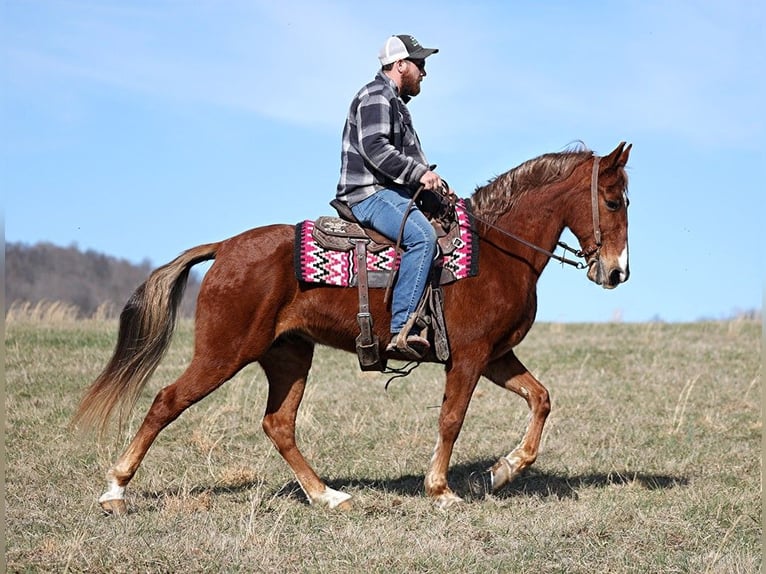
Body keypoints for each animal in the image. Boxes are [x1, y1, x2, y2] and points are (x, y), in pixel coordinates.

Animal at [73, 142, 636, 516]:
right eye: (612, 201)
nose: (616, 272)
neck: (497, 251)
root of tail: (226, 247)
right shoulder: (470, 357)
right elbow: (451, 420)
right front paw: (441, 489)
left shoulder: (495, 356)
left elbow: (541, 399)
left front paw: (504, 470)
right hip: (222, 354)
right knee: (166, 402)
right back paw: (115, 490)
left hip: (289, 355)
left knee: (278, 424)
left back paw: (327, 495)